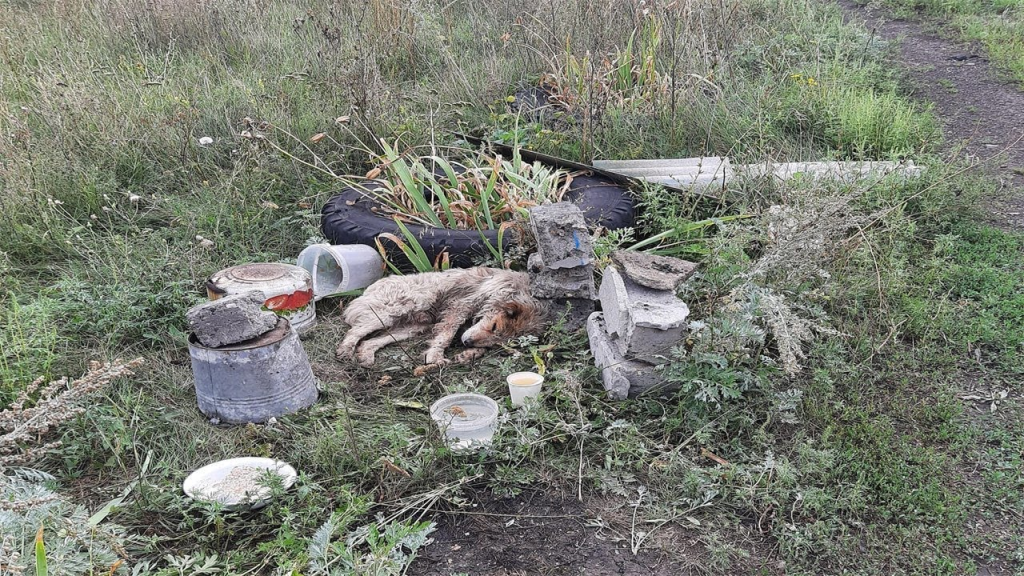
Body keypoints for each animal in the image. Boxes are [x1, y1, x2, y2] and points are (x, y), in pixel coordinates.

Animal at [335, 266, 544, 368]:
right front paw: (435, 357)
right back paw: (346, 350)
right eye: (494, 327)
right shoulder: (460, 306)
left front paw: (468, 354)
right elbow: (446, 335)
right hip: (392, 311)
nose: (467, 343)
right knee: (355, 331)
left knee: (369, 342)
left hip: (412, 328)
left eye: (495, 344)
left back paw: (366, 356)